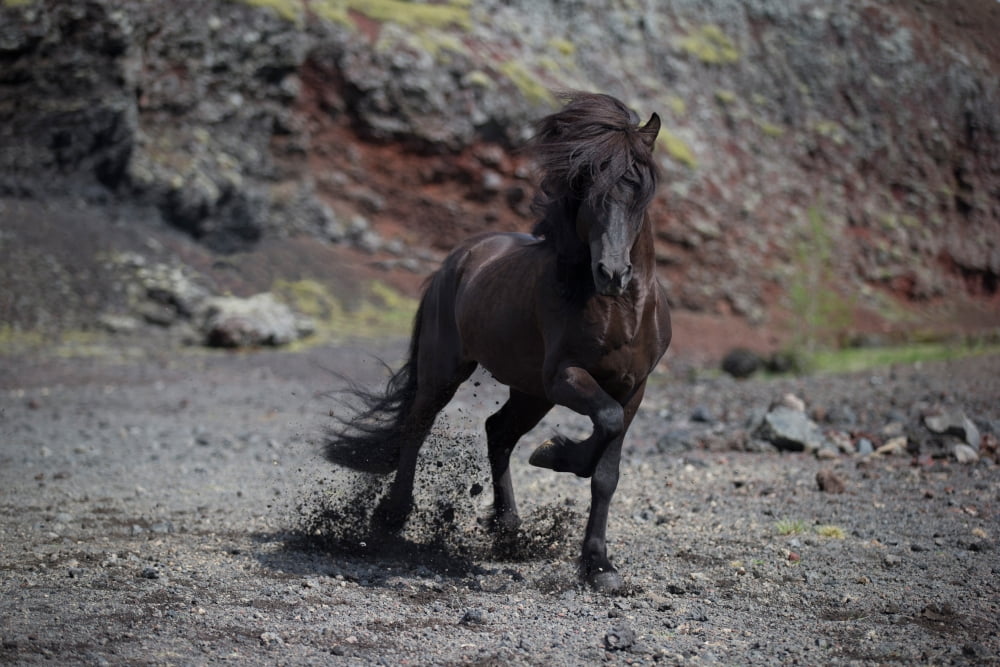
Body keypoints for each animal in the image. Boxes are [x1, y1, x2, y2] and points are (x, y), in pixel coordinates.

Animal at [326, 92, 672, 593]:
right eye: (588, 190)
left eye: (639, 189)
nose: (611, 273)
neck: (619, 313)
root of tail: (459, 258)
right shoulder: (566, 377)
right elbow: (603, 424)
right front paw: (556, 454)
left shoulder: (633, 388)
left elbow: (606, 472)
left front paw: (599, 566)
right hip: (449, 371)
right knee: (418, 425)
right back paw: (391, 517)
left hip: (531, 392)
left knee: (498, 432)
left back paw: (508, 526)